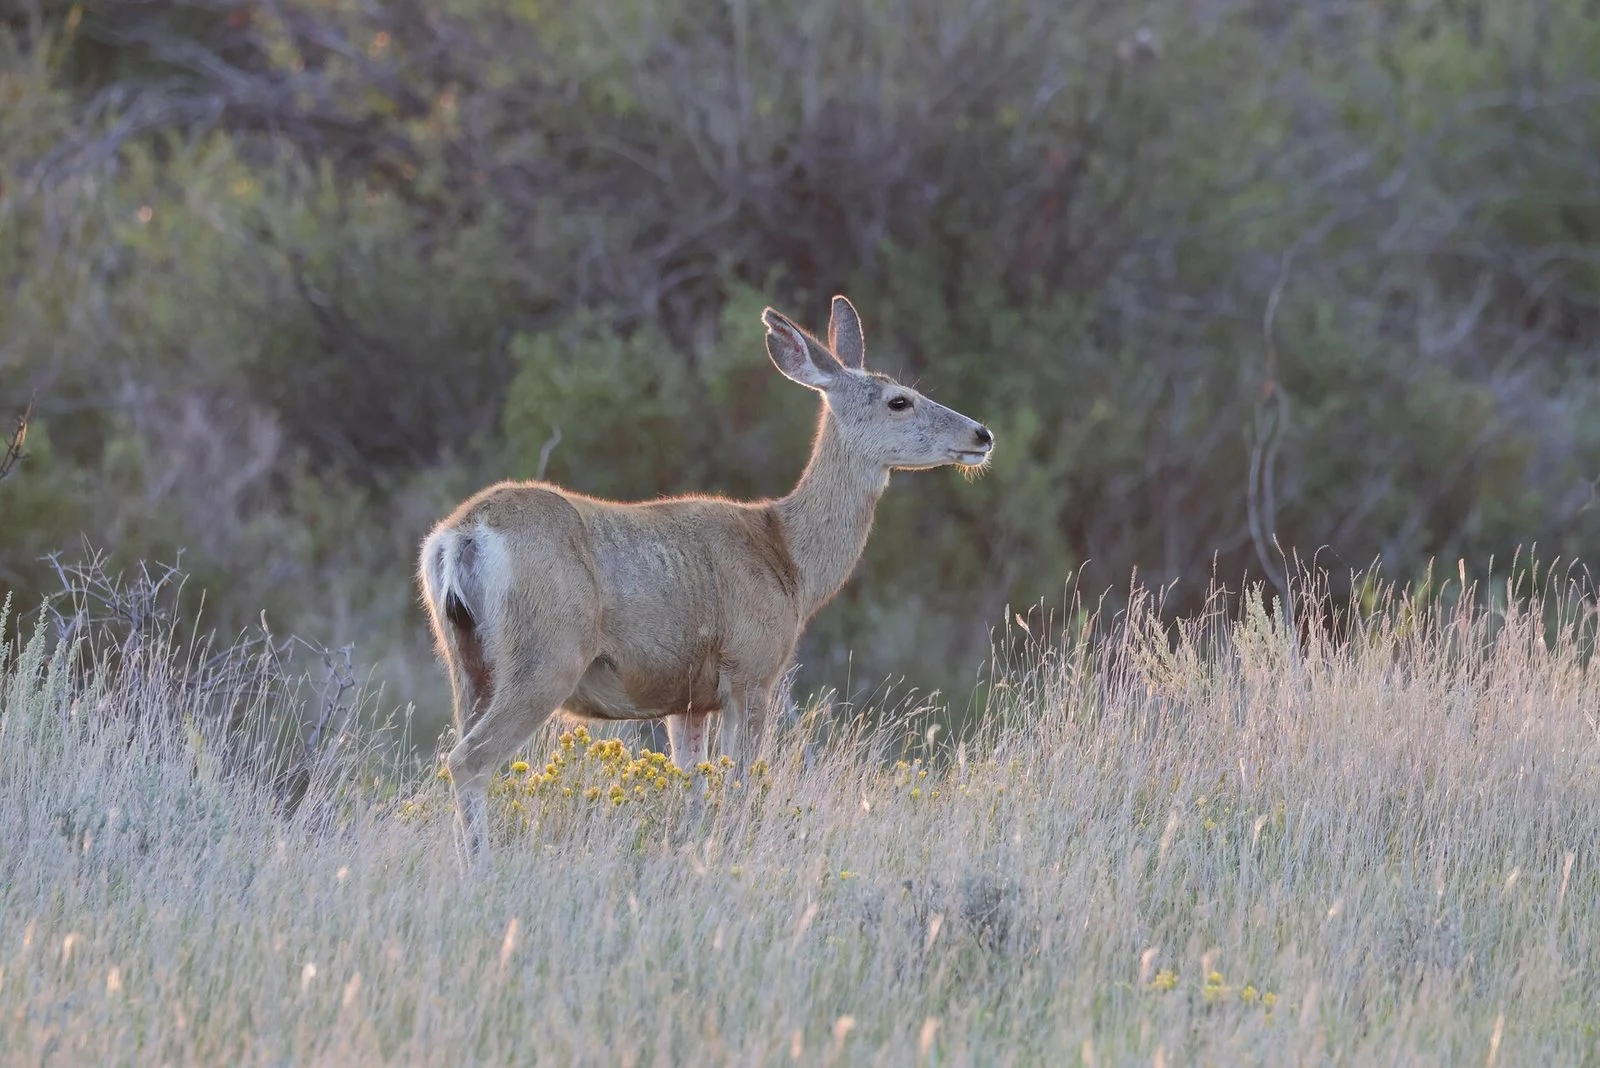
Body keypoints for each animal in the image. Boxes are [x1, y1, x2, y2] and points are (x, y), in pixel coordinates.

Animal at [419, 296, 993, 864]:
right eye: (900, 401)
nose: (982, 434)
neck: (789, 559)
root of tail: (461, 535)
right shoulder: (751, 670)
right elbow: (738, 784)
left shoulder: (686, 699)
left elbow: (692, 787)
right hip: (547, 654)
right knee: (468, 761)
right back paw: (481, 871)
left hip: (465, 661)